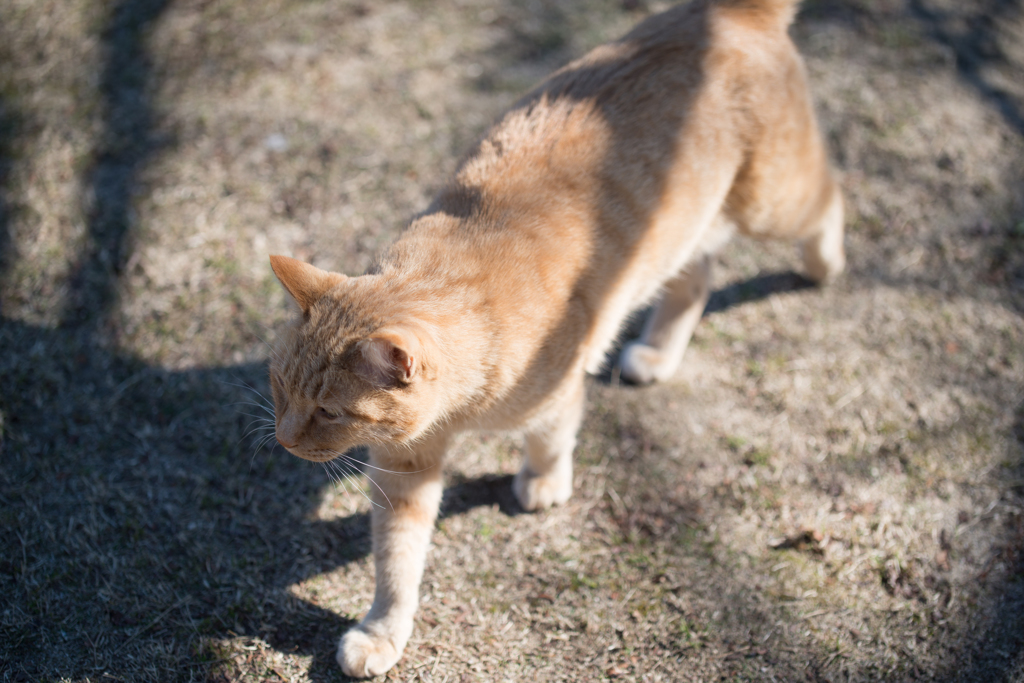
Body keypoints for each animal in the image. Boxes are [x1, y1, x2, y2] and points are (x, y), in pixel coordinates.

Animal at [268, 0, 843, 671]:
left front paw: (543, 480)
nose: (283, 439)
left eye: (329, 411)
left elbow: (552, 434)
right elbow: (397, 561)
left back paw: (826, 264)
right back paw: (657, 353)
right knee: (696, 275)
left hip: (772, 201)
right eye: (279, 388)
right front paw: (383, 630)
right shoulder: (405, 466)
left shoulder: (557, 390)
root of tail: (728, 12)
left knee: (830, 198)